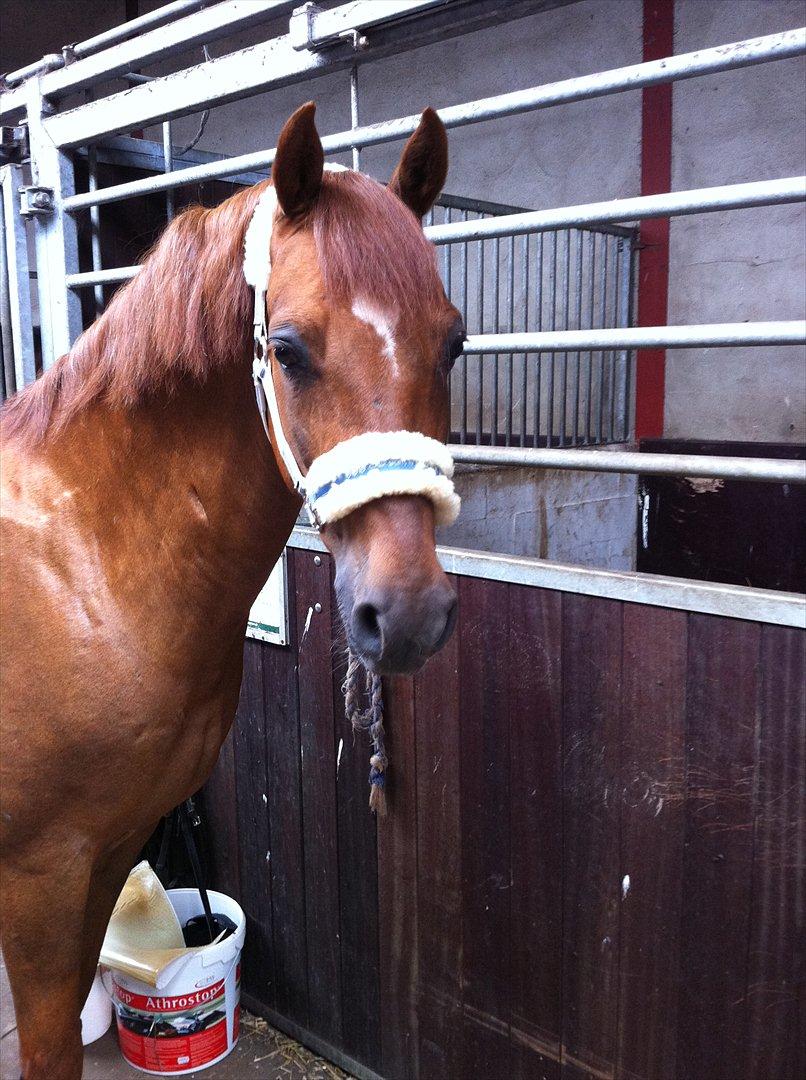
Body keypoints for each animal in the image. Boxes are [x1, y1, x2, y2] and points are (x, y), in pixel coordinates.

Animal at [0, 101, 464, 1079]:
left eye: (454, 341)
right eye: (285, 350)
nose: (406, 614)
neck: (81, 570)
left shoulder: (110, 850)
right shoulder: (37, 878)